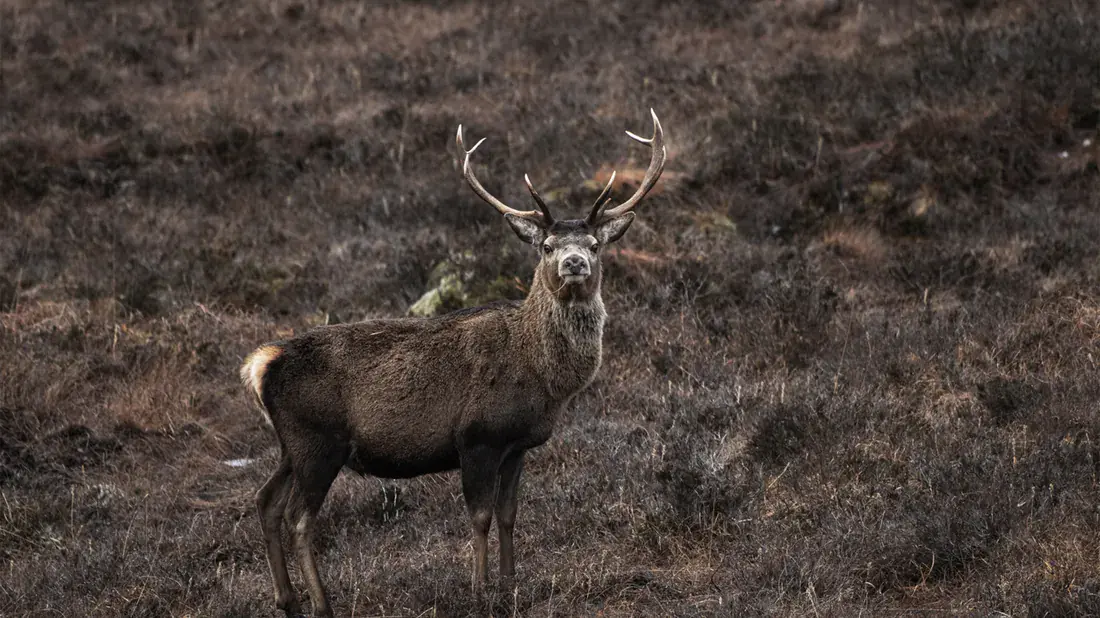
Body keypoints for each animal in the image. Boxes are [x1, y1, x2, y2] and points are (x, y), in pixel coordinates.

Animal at [240, 110, 667, 617]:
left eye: (595, 245)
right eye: (546, 246)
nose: (574, 263)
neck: (543, 377)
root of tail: (262, 365)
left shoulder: (517, 444)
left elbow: (508, 514)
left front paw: (510, 584)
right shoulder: (476, 436)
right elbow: (480, 516)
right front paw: (479, 592)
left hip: (292, 445)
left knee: (265, 501)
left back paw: (288, 600)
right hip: (318, 441)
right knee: (299, 519)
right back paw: (322, 604)